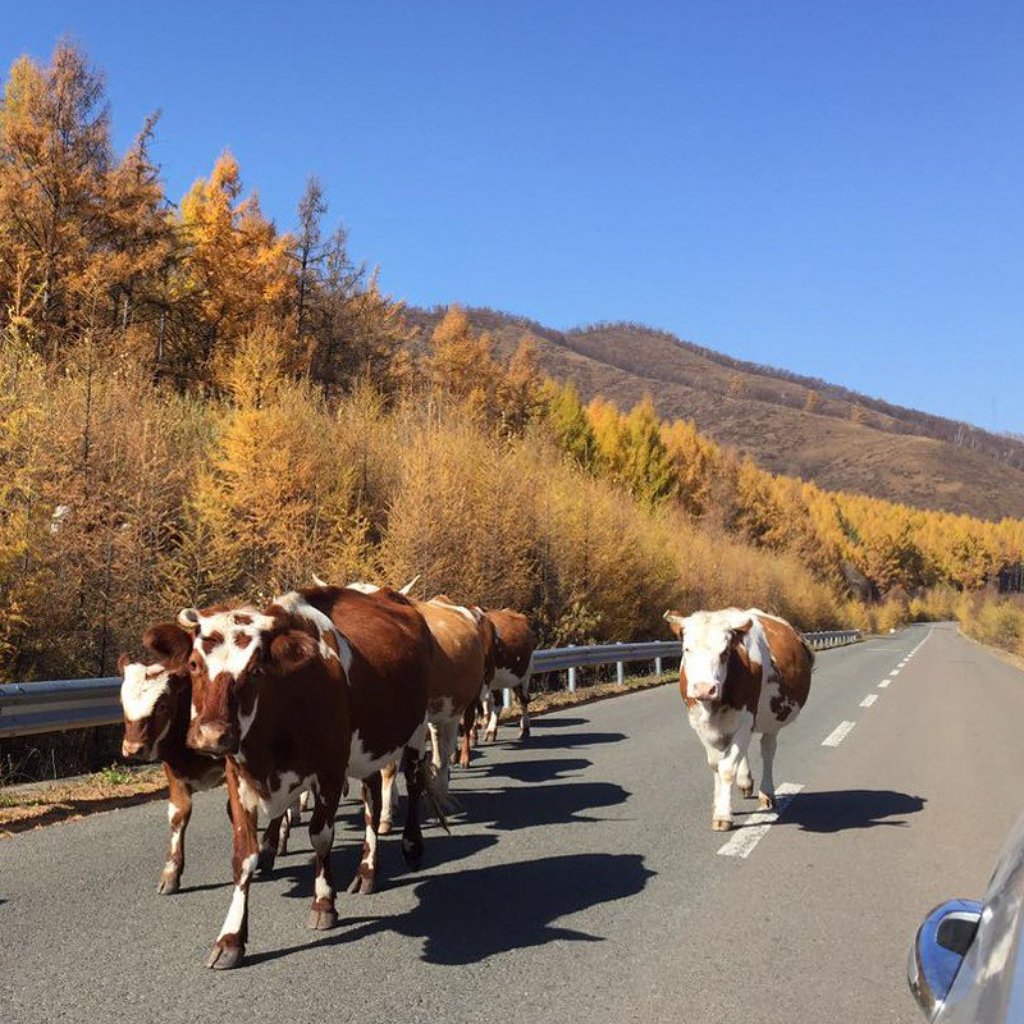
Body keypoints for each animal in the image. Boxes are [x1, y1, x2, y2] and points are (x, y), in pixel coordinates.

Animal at [117, 618, 299, 892]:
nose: (132, 748)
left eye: (162, 705)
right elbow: (178, 815)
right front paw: (171, 873)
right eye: (122, 702)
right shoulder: (174, 770)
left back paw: (271, 847)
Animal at [180, 585, 444, 966]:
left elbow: (321, 836)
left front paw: (323, 904)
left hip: (415, 729)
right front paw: (230, 939)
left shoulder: (330, 771)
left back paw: (411, 845)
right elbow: (244, 856)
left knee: (412, 779)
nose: (212, 735)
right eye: (194, 664)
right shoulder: (238, 778)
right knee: (372, 801)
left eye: (256, 669)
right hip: (367, 751)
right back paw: (367, 871)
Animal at [663, 606, 815, 831]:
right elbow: (716, 764)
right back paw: (745, 781)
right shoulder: (700, 724)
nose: (704, 689)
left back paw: (767, 793)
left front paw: (723, 815)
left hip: (773, 719)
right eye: (687, 649)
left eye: (725, 652)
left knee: (767, 750)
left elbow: (726, 768)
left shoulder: (745, 721)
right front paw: (718, 803)